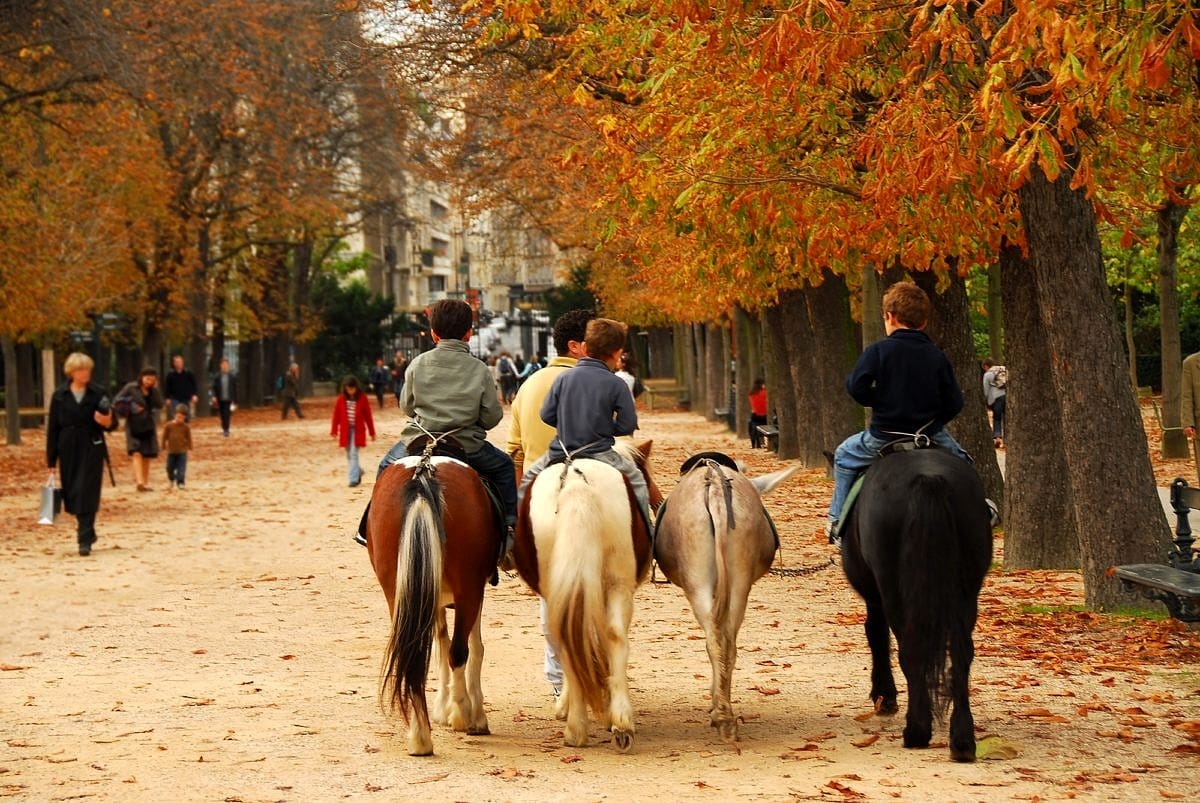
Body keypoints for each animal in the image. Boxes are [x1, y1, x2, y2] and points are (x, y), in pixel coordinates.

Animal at [362, 453, 499, 753]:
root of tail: (423, 473)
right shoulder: (473, 592)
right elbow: (470, 647)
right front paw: (469, 713)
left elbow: (440, 643)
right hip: (468, 590)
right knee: (458, 651)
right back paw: (462, 714)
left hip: (398, 592)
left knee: (412, 654)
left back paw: (420, 737)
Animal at [511, 441, 662, 748]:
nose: (658, 499)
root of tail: (575, 482)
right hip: (617, 584)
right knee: (613, 635)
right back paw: (616, 721)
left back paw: (580, 727)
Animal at [657, 453, 796, 744]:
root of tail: (717, 488)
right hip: (740, 578)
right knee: (728, 641)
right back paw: (725, 715)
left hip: (697, 581)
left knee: (715, 639)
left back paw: (720, 714)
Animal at [840, 448, 988, 763]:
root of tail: (928, 478)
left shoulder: (875, 595)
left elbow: (875, 634)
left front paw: (884, 696)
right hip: (967, 588)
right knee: (962, 654)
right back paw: (962, 741)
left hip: (893, 586)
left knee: (910, 648)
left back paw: (917, 731)